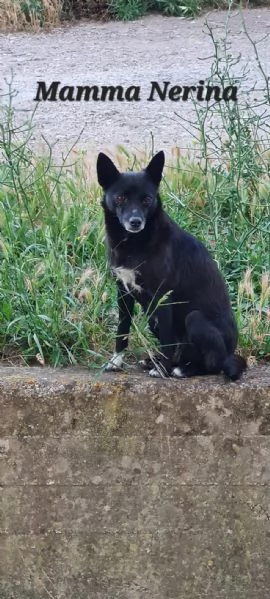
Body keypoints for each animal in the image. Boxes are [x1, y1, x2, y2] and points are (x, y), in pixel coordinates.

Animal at [97, 149, 247, 380]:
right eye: (120, 198)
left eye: (147, 199)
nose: (135, 222)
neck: (134, 243)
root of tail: (231, 353)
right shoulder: (123, 291)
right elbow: (122, 330)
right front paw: (116, 361)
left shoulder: (163, 297)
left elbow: (167, 341)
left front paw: (162, 370)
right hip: (153, 320)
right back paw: (155, 361)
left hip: (195, 319)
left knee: (212, 364)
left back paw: (180, 369)